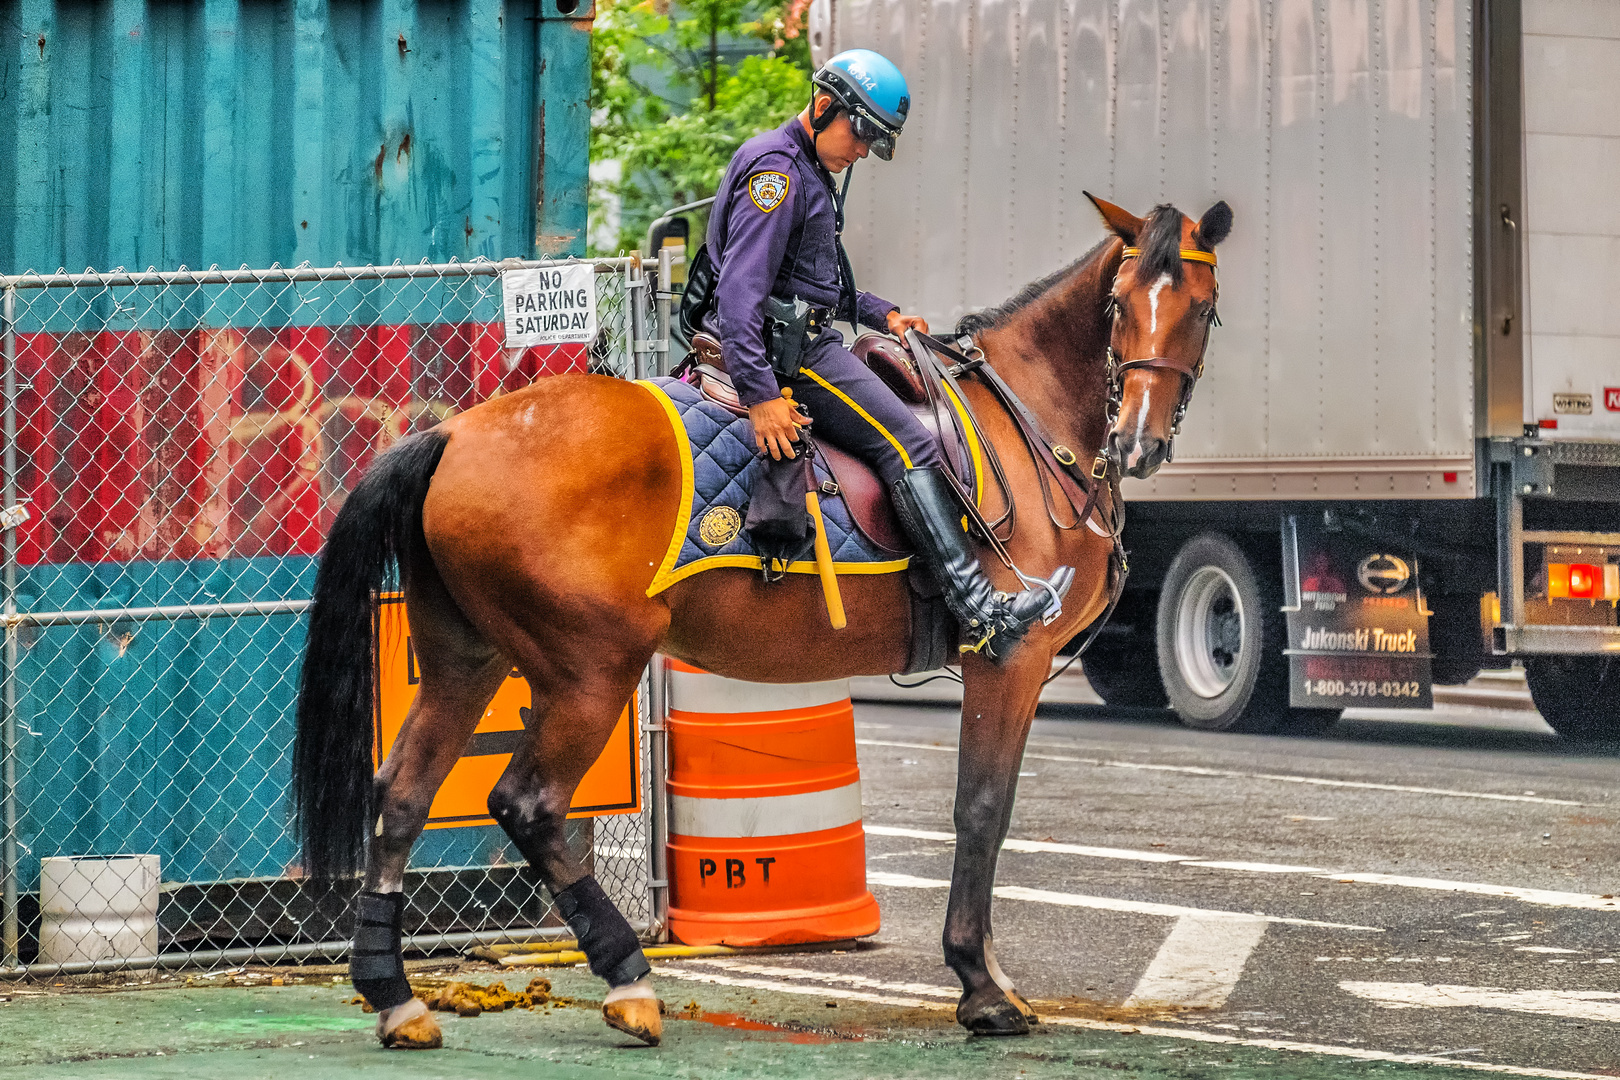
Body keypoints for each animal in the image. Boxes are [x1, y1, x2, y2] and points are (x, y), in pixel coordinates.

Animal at [294, 194, 1224, 1049]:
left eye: (1202, 306)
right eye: (1120, 304)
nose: (1138, 441)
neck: (1025, 424)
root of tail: (452, 435)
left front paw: (987, 977)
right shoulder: (1009, 657)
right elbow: (982, 809)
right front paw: (982, 987)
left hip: (467, 661)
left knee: (401, 794)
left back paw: (395, 994)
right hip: (591, 669)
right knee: (529, 803)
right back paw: (628, 979)